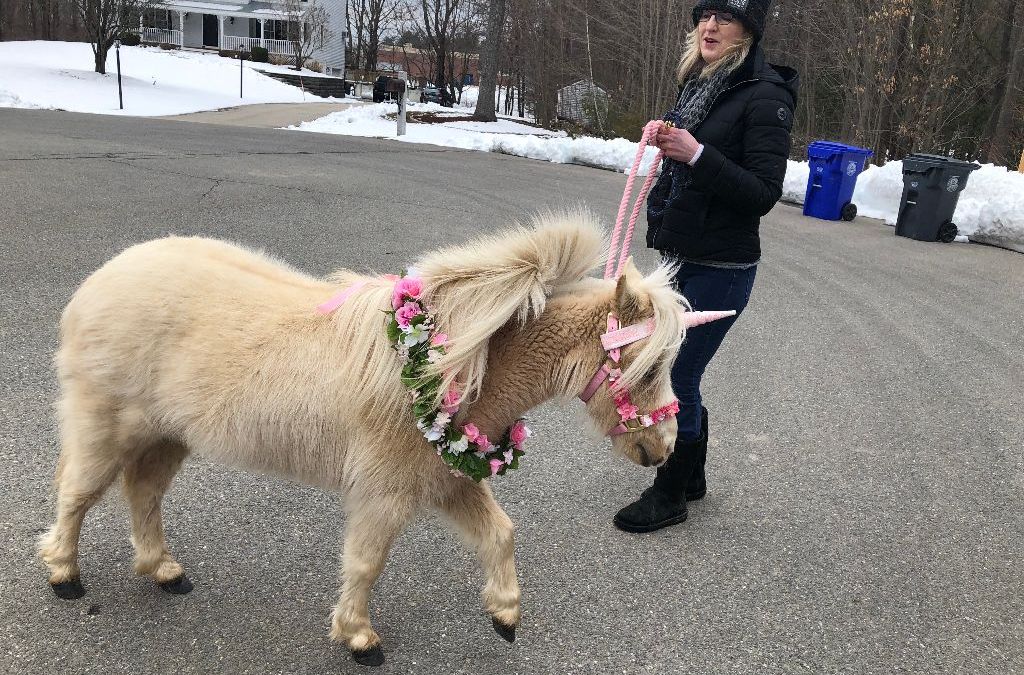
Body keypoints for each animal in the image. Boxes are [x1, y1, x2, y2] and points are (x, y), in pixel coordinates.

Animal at [39, 214, 688, 667]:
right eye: (650, 368)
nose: (664, 450)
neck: (454, 365)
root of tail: (97, 283)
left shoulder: (449, 480)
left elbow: (500, 534)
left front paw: (505, 616)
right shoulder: (384, 495)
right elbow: (366, 562)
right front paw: (358, 637)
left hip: (167, 436)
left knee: (143, 494)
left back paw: (163, 570)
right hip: (105, 427)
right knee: (77, 495)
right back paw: (65, 575)